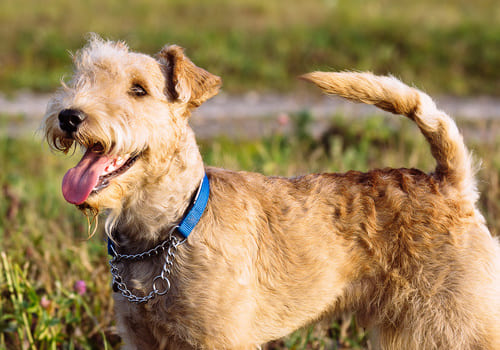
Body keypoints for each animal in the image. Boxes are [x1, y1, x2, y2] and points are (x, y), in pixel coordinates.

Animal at [44, 36, 500, 350]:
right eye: (81, 76)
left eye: (138, 89)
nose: (69, 116)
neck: (169, 229)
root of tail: (449, 183)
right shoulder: (142, 337)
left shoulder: (218, 339)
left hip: (460, 322)